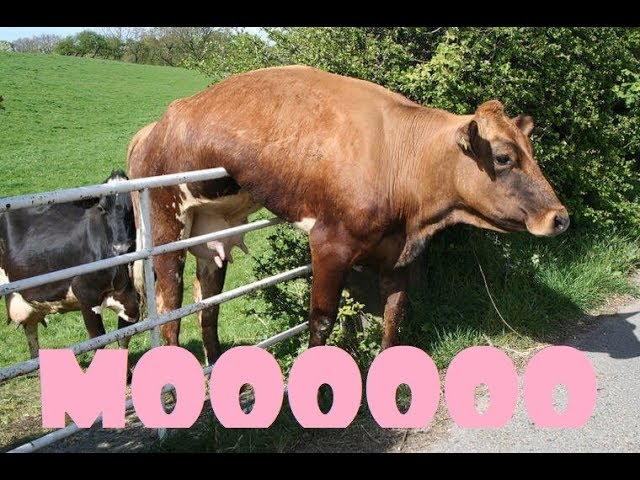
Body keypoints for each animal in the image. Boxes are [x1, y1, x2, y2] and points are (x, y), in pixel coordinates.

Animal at [0, 170, 140, 358]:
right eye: (101, 208)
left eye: (133, 206)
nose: (121, 247)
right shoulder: (86, 295)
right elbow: (98, 340)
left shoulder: (132, 300)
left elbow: (124, 338)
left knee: (30, 329)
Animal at [128, 65, 569, 363]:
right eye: (504, 157)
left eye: (531, 151)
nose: (560, 217)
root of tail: (153, 127)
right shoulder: (329, 245)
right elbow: (320, 321)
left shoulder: (396, 253)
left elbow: (393, 313)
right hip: (166, 227)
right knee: (169, 311)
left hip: (212, 232)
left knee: (208, 306)